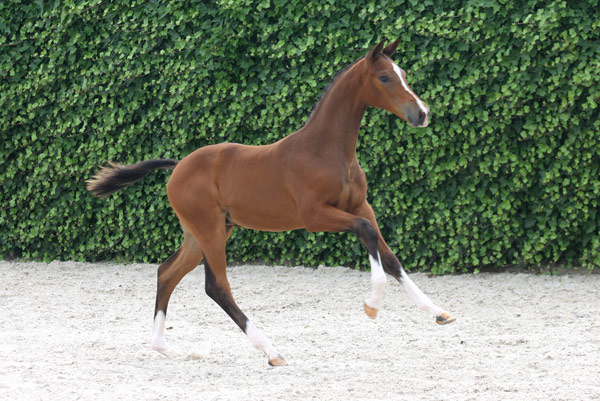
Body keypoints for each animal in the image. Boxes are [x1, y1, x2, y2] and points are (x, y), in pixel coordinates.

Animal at [87, 39, 455, 366]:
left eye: (403, 73)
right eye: (384, 77)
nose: (422, 113)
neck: (326, 150)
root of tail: (178, 166)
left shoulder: (360, 207)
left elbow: (390, 258)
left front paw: (439, 313)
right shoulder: (316, 216)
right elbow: (367, 234)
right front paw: (372, 305)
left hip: (202, 233)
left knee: (166, 273)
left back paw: (165, 348)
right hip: (210, 232)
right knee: (216, 287)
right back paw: (272, 351)